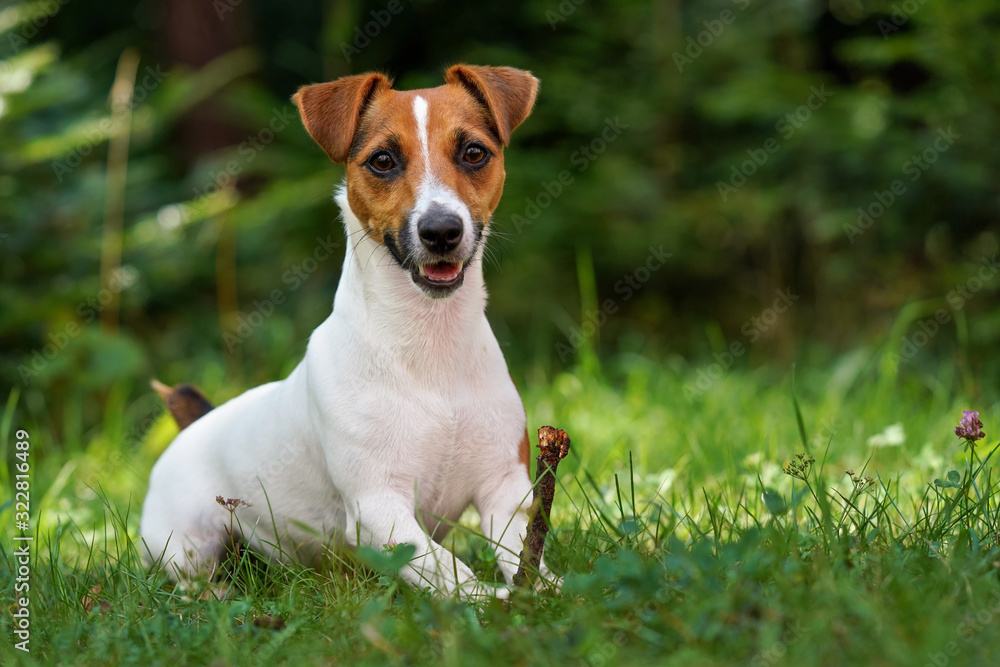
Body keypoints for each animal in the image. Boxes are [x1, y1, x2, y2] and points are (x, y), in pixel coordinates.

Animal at [139, 65, 556, 600]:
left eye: (474, 152)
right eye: (382, 160)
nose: (441, 231)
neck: (430, 347)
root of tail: (196, 424)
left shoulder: (504, 487)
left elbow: (523, 549)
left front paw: (547, 591)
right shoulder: (378, 504)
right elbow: (448, 568)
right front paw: (490, 602)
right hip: (185, 545)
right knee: (198, 578)